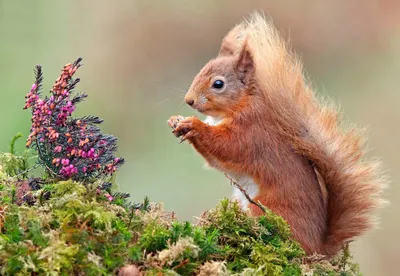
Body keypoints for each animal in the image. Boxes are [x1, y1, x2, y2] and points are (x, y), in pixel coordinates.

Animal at [167, 12, 386, 258]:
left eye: (218, 84)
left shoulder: (251, 131)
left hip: (264, 207)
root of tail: (317, 249)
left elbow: (227, 146)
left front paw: (193, 125)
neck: (239, 105)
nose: (189, 100)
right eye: (201, 70)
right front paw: (175, 120)